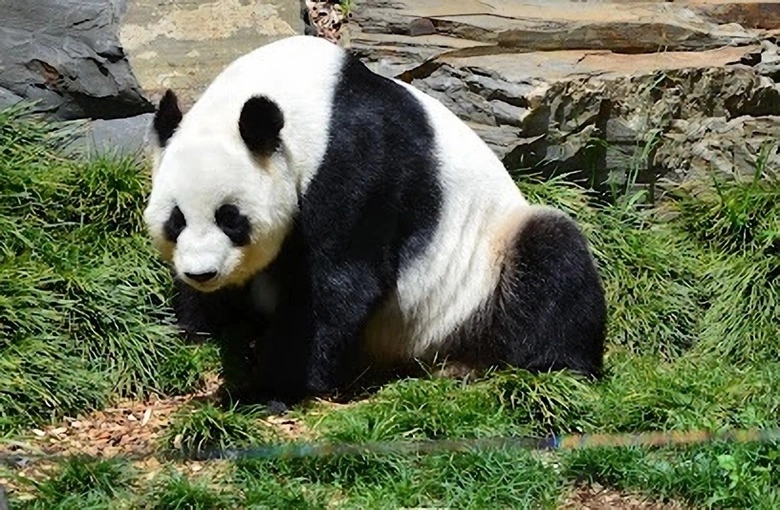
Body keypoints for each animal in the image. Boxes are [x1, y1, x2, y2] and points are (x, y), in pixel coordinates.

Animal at [145, 34, 608, 406]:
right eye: (176, 220)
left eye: (231, 219)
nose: (202, 273)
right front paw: (193, 328)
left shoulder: (357, 159)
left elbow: (339, 283)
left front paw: (268, 388)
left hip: (484, 268)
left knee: (552, 257)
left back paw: (550, 371)